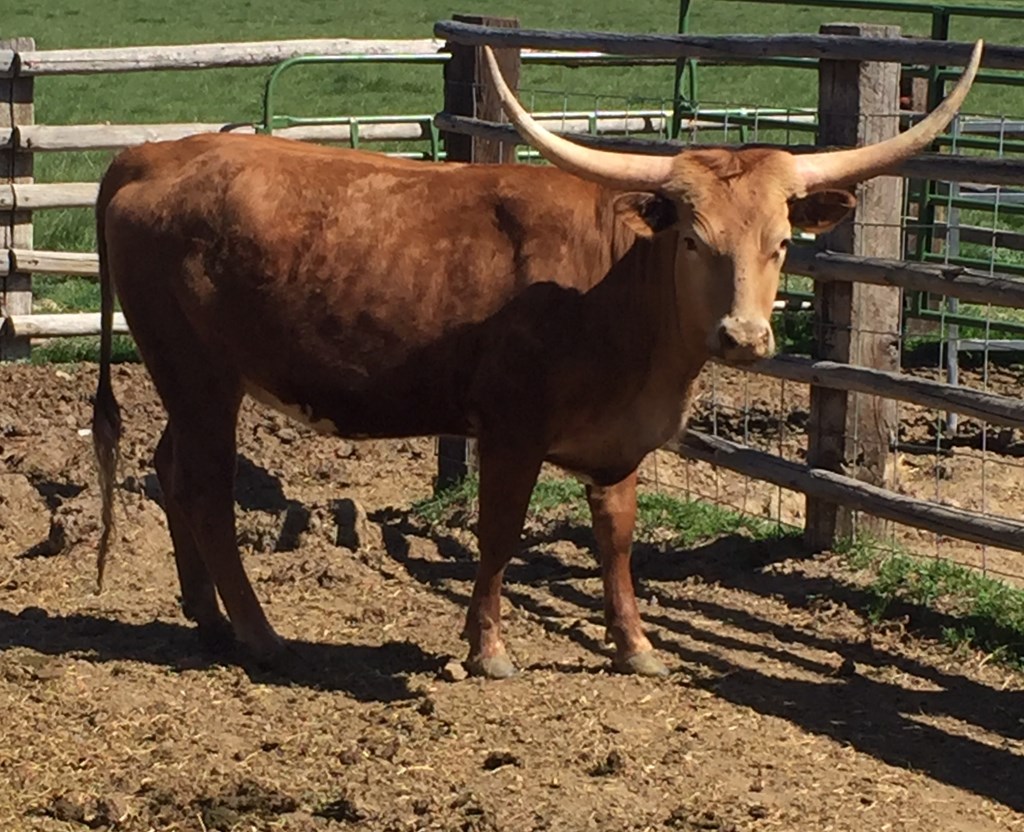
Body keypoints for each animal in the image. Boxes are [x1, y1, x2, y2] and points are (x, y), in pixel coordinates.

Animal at [92, 41, 982, 679]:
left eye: (783, 243)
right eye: (694, 240)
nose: (744, 337)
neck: (612, 285)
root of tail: (152, 156)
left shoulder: (619, 442)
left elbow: (615, 538)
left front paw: (636, 646)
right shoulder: (510, 430)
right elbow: (499, 532)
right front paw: (488, 649)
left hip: (188, 383)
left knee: (171, 472)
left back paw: (207, 618)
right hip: (201, 379)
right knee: (204, 490)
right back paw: (257, 631)